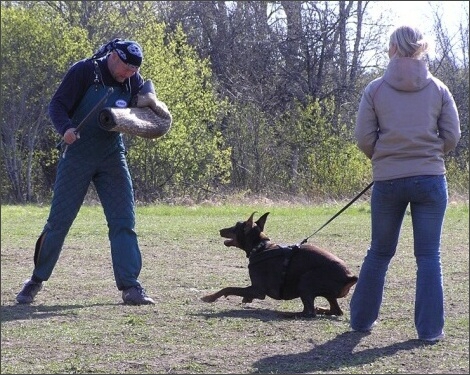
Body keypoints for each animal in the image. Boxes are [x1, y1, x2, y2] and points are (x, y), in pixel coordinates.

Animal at [200, 213, 358, 318]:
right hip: (328, 293)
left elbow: (229, 288)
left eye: (235, 227)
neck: (260, 247)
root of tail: (349, 277)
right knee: (336, 311)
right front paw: (246, 299)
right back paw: (321, 309)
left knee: (309, 312)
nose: (220, 230)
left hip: (306, 280)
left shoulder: (258, 290)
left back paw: (290, 314)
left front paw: (210, 297)